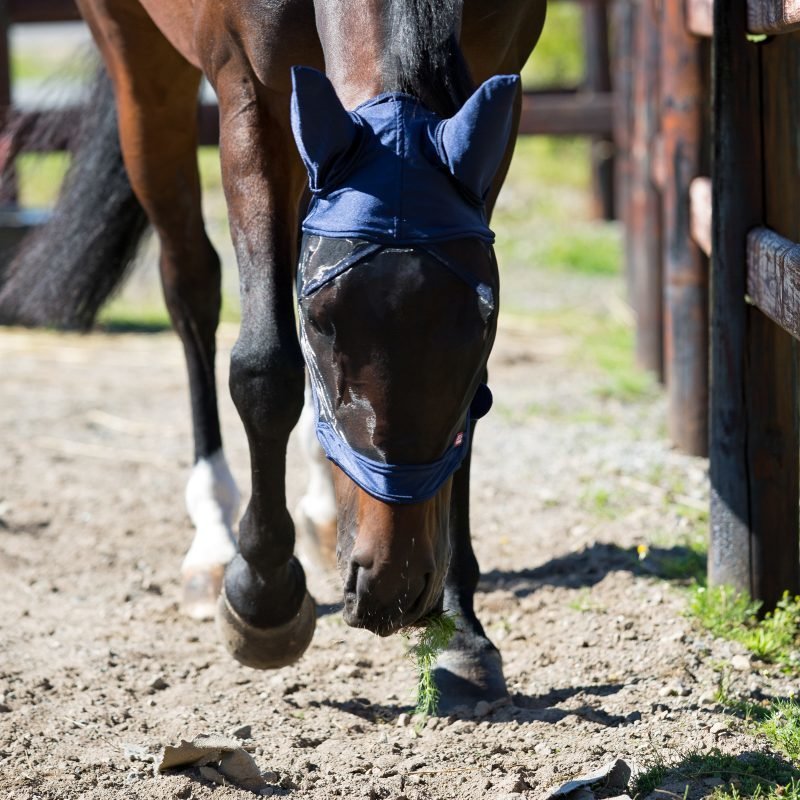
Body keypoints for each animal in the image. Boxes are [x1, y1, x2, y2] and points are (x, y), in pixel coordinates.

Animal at [0, 0, 548, 712]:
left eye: (483, 322)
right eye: (320, 322)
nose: (392, 586)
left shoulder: (498, 75)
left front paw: (460, 631)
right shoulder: (249, 92)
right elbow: (265, 365)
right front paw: (262, 595)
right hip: (138, 62)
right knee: (190, 284)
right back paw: (214, 540)